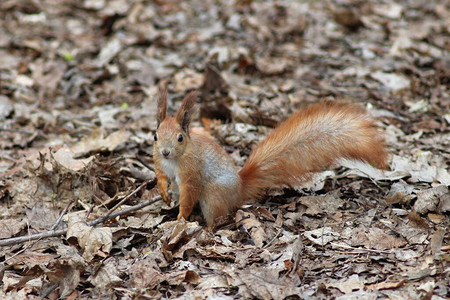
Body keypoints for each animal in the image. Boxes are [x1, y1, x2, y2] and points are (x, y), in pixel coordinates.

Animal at [153, 88, 388, 229]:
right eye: (155, 135)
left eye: (180, 138)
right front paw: (163, 193)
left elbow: (189, 194)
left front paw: (180, 219)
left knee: (219, 216)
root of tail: (240, 189)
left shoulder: (191, 171)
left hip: (213, 194)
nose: (165, 151)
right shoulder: (160, 164)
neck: (176, 159)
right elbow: (161, 176)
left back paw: (208, 229)